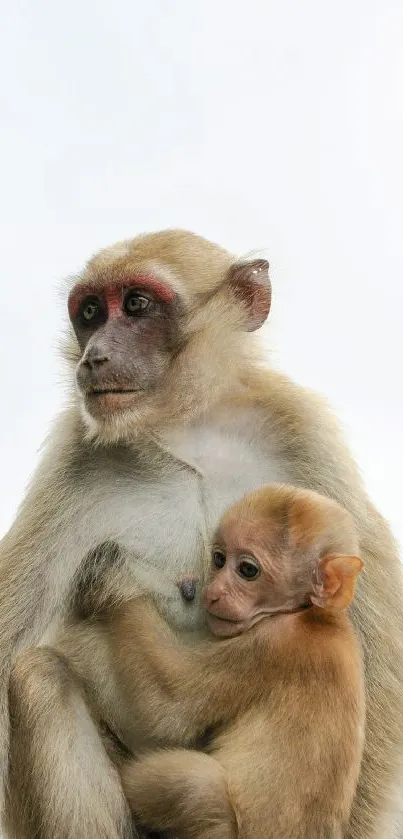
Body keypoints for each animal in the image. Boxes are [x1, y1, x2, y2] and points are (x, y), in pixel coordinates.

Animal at [113, 486, 366, 839]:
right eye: (219, 559)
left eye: (248, 570)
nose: (213, 592)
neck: (314, 614)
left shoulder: (271, 645)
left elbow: (169, 706)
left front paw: (112, 578)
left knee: (194, 785)